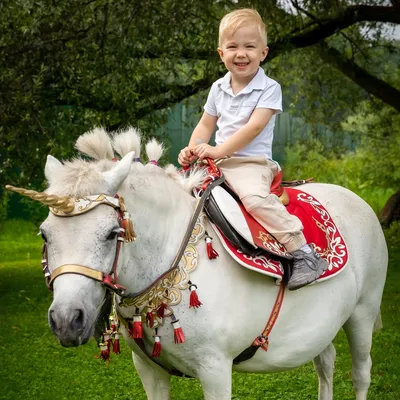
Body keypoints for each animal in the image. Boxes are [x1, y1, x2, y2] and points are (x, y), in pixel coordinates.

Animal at [7, 129, 388, 400]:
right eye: (45, 234)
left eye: (111, 233)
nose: (67, 320)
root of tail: (357, 201)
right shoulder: (148, 369)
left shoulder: (215, 369)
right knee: (325, 364)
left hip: (363, 313)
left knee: (360, 374)